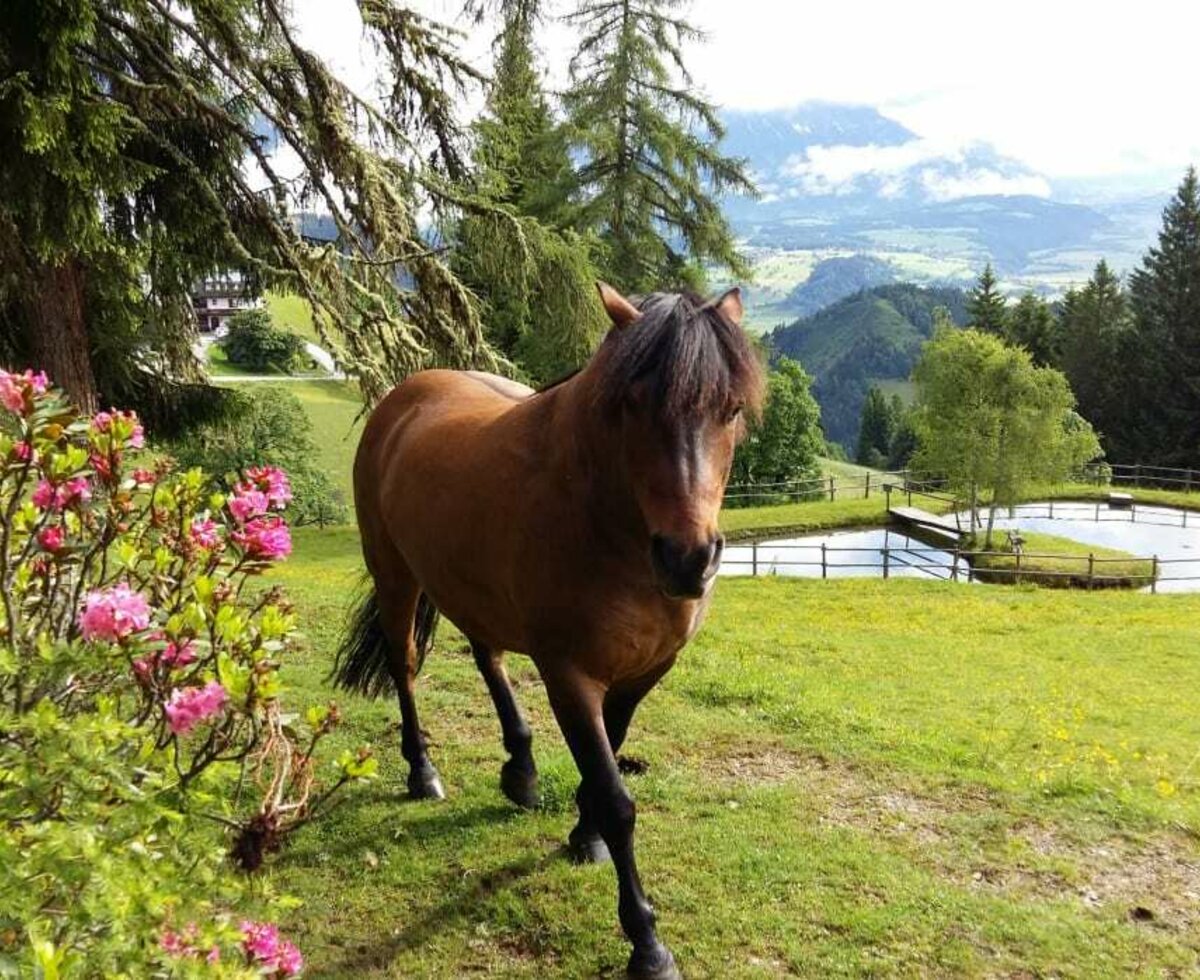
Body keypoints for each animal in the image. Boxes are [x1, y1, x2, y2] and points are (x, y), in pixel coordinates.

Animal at [333, 279, 763, 974]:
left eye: (729, 409)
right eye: (633, 404)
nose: (688, 560)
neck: (603, 519)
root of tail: (405, 395)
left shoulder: (643, 671)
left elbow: (607, 760)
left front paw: (582, 836)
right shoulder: (570, 676)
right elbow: (615, 799)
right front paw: (646, 942)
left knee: (487, 657)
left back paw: (521, 768)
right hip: (395, 577)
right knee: (404, 666)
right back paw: (423, 772)